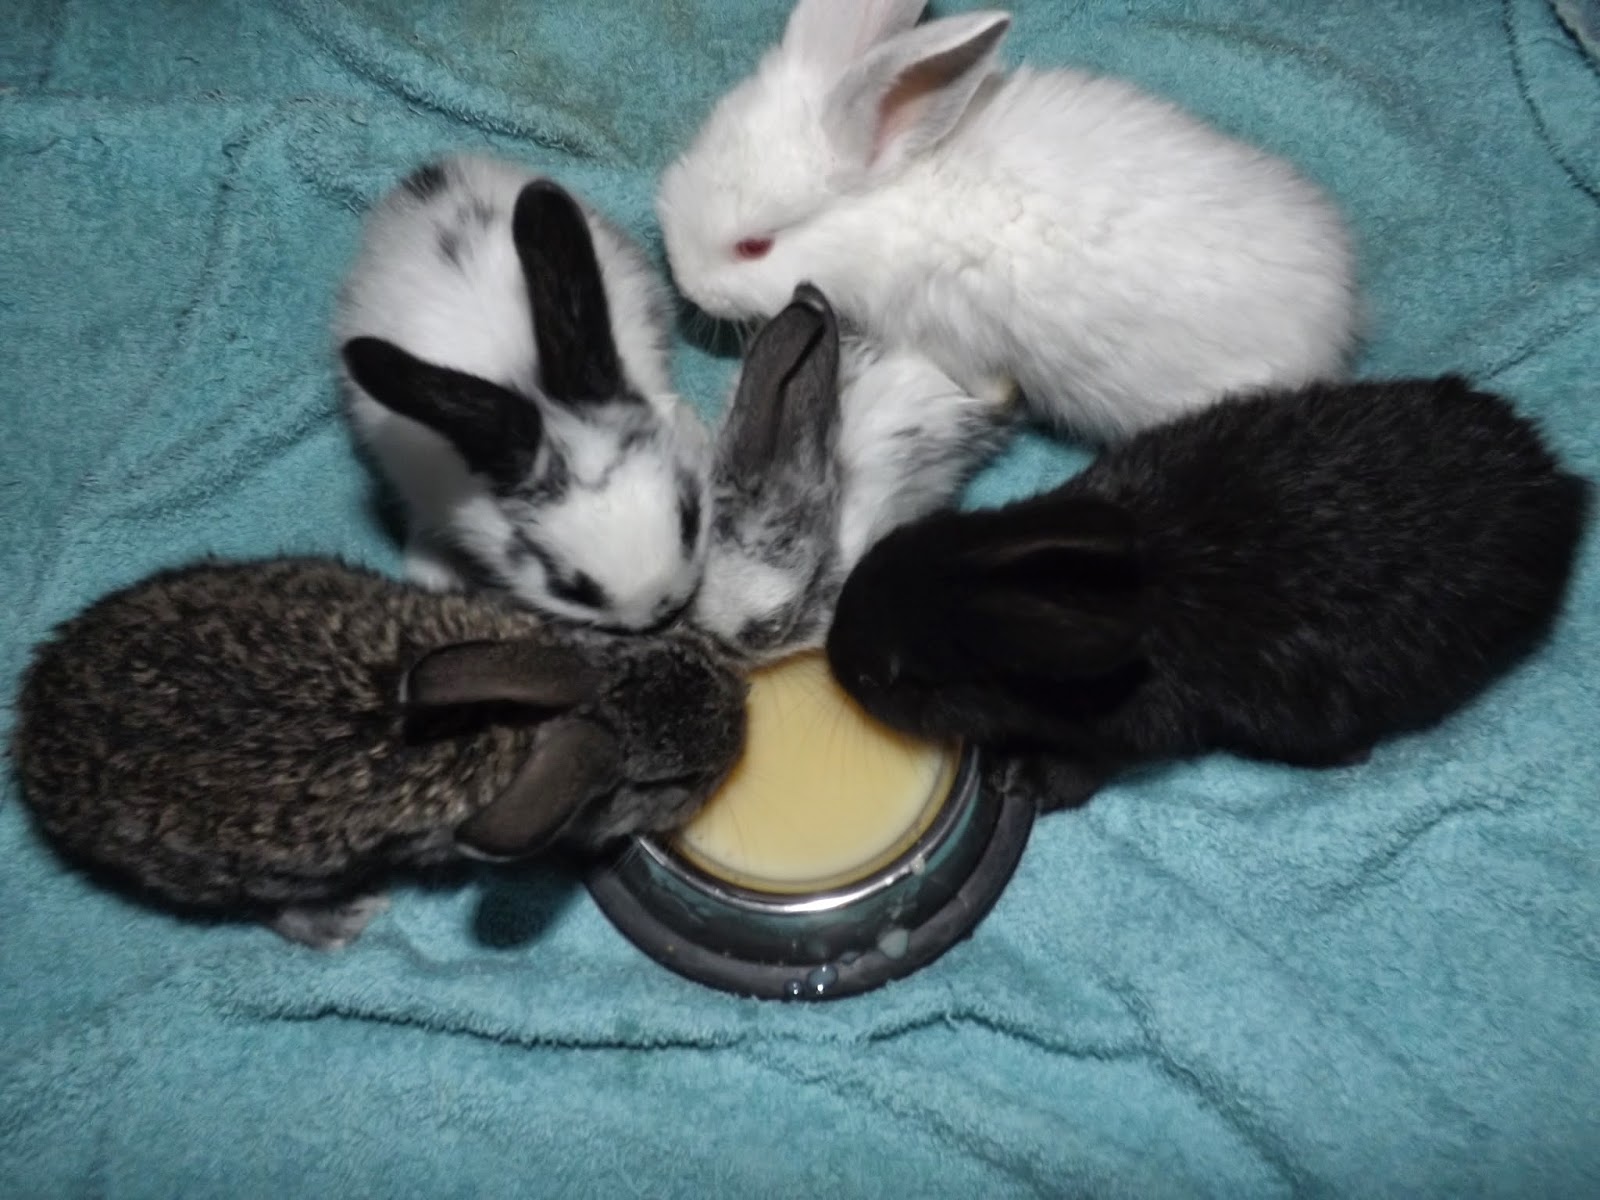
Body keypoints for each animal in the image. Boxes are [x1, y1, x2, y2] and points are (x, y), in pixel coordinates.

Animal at [9, 557, 748, 948]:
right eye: (675, 782)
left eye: (679, 651)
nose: (741, 719)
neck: (513, 734)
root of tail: (32, 731)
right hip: (255, 875)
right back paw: (343, 922)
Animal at [826, 376, 1592, 809]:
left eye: (898, 678)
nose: (835, 658)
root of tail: (1555, 489)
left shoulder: (1131, 732)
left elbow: (1089, 767)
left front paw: (1024, 782)